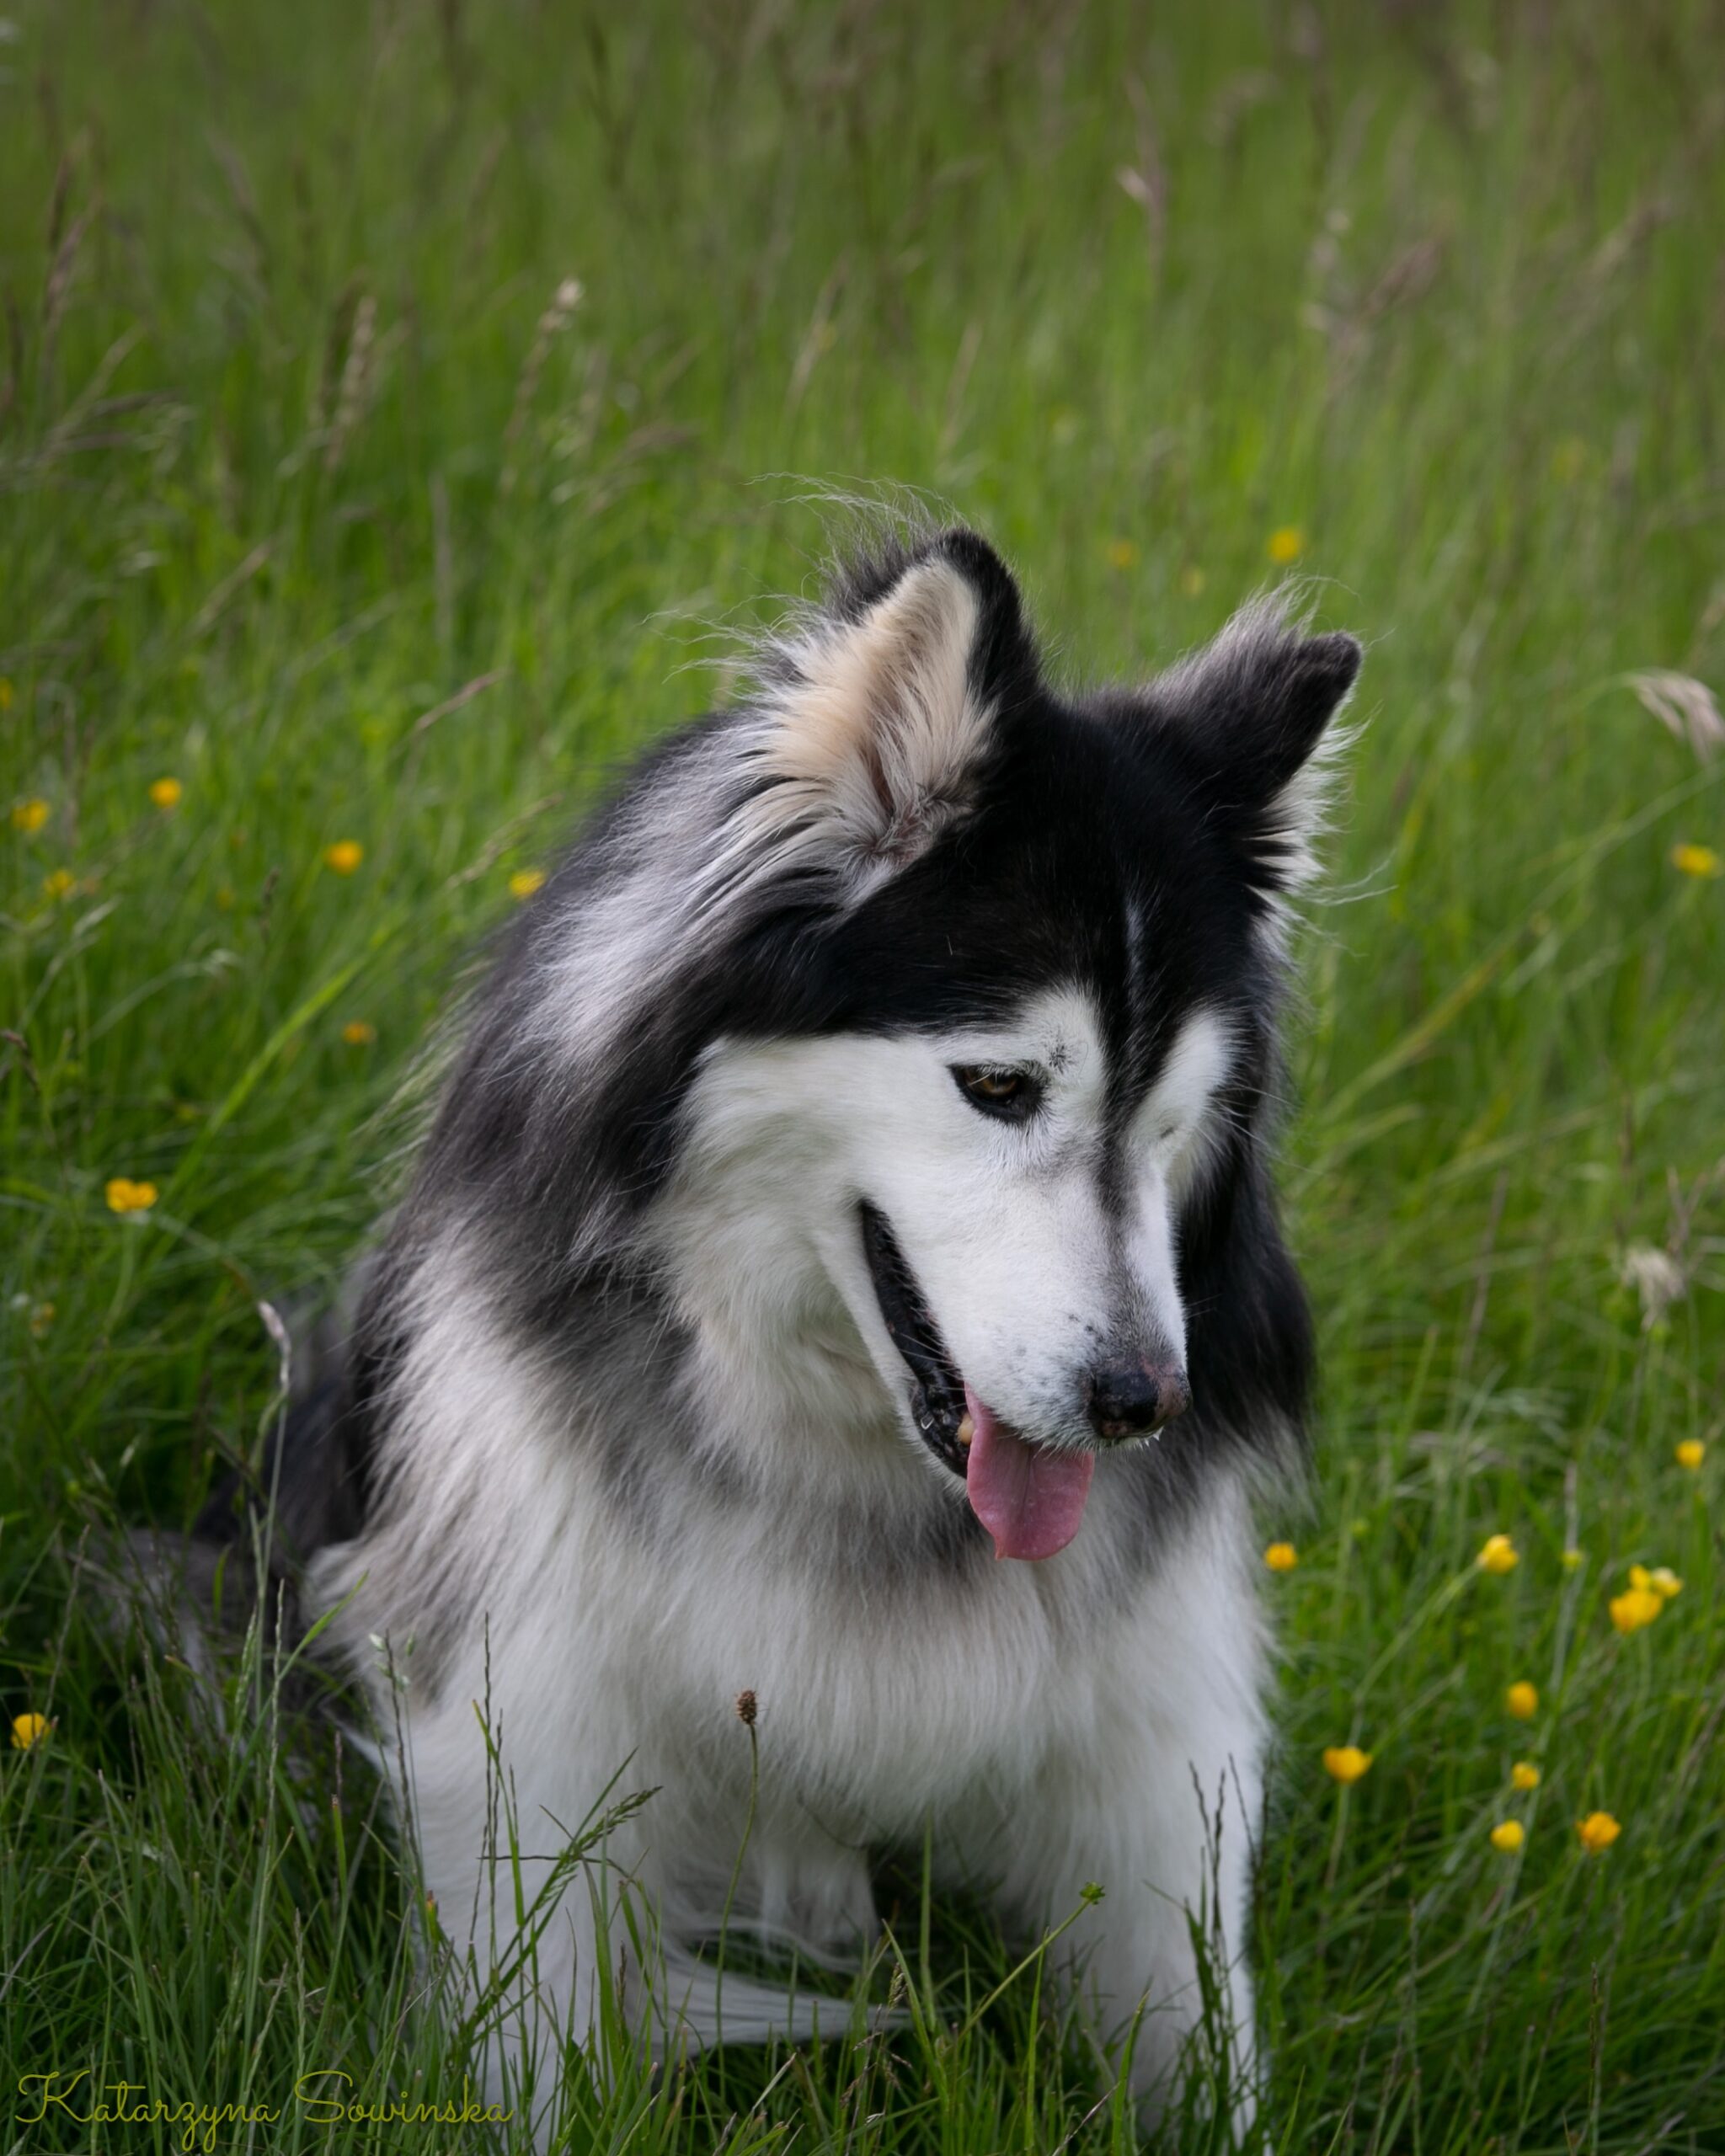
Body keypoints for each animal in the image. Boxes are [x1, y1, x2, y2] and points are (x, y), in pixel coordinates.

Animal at [231, 526, 1360, 2128]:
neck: (854, 1467)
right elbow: (533, 2029)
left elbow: (1188, 2030)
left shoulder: (1148, 1750)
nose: (1141, 1402)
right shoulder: (528, 1712)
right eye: (1000, 1087)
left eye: (1169, 1120)